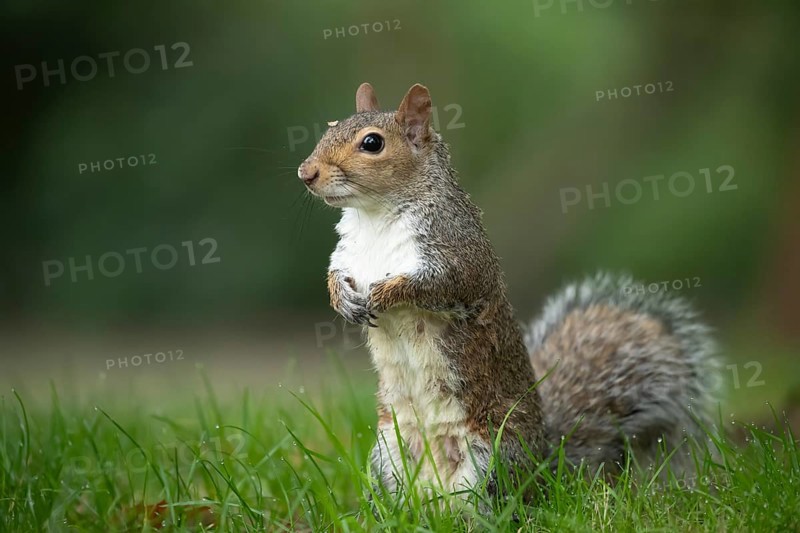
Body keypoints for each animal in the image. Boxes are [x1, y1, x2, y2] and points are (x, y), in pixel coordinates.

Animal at [297, 82, 721, 501]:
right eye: (330, 128)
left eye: (372, 143)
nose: (306, 172)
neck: (376, 217)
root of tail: (545, 465)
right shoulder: (349, 256)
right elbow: (336, 276)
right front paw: (343, 300)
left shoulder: (458, 256)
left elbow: (436, 285)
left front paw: (385, 294)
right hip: (389, 454)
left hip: (490, 458)